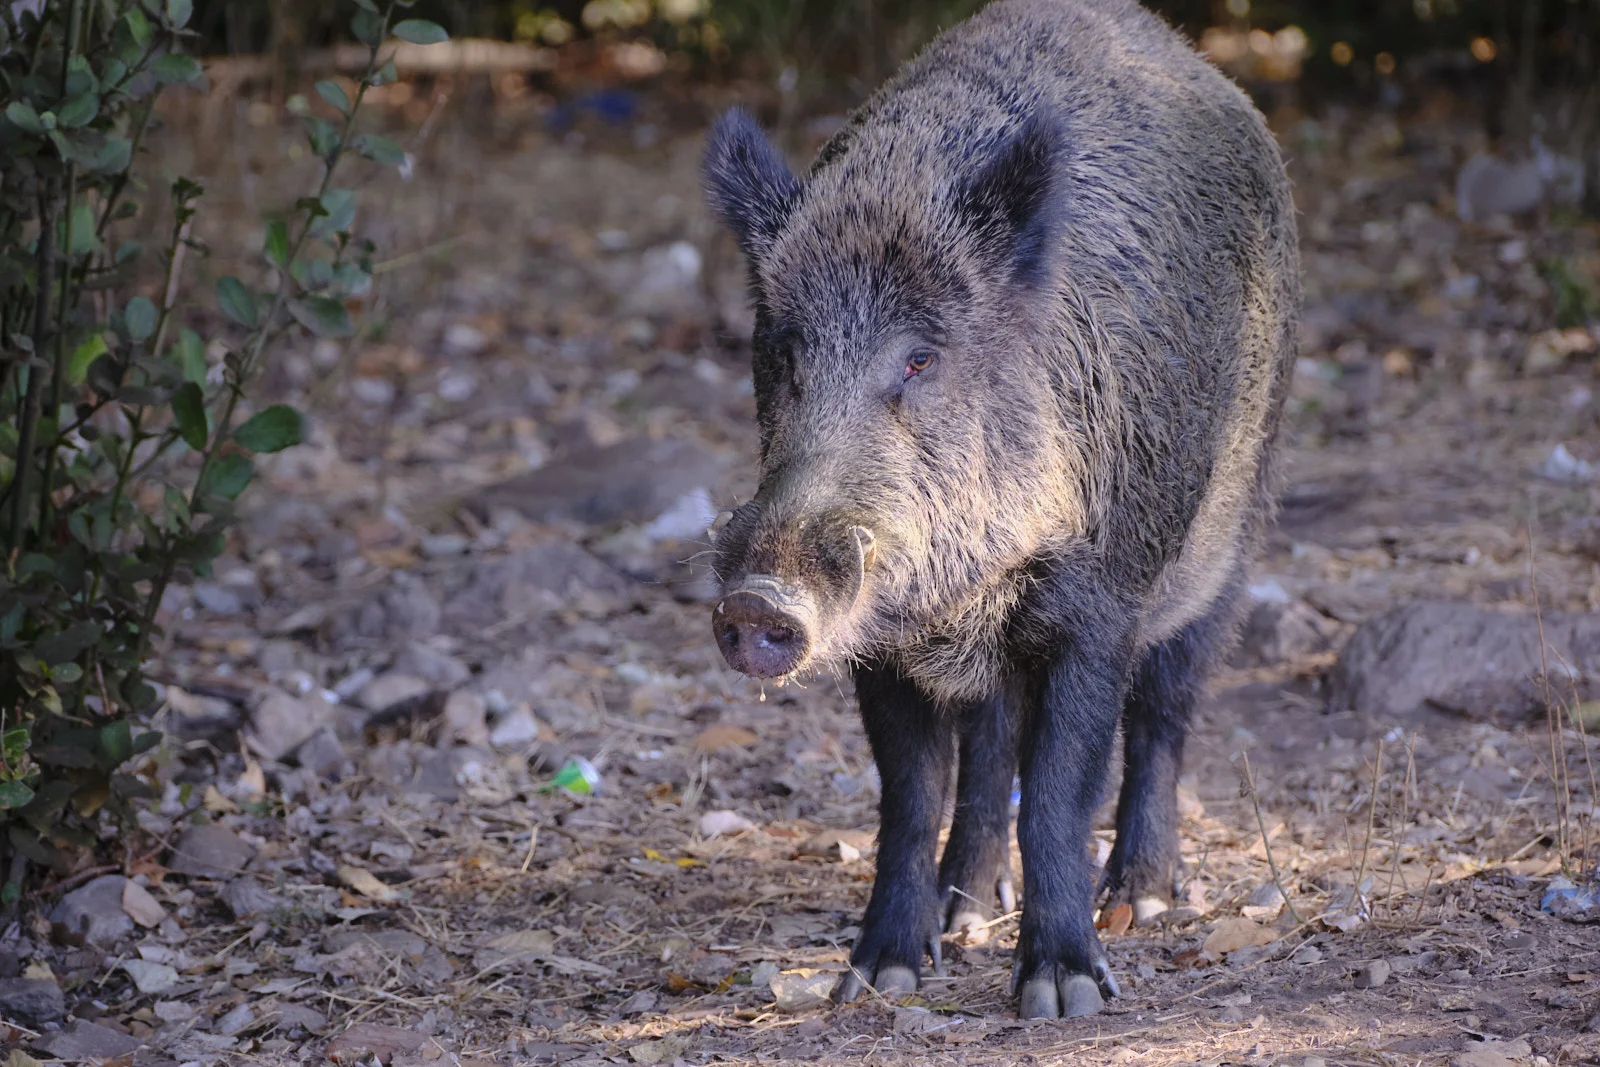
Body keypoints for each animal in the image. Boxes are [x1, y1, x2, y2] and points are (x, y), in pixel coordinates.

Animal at [702, 0, 1299, 1019]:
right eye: (785, 353)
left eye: (918, 358)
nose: (757, 602)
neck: (961, 594)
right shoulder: (884, 636)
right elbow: (910, 795)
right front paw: (877, 978)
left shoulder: (1099, 602)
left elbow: (1059, 789)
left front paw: (1066, 994)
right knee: (987, 750)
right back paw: (963, 911)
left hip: (1234, 525)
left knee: (1167, 709)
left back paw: (1145, 902)